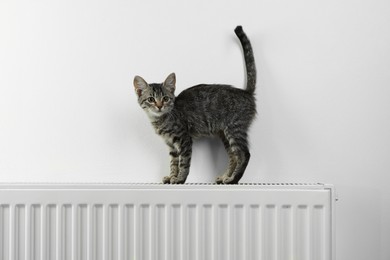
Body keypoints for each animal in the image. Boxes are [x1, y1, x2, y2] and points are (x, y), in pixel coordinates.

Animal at [133, 25, 256, 185]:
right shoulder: (171, 145)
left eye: (165, 98)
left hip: (235, 129)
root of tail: (245, 92)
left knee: (244, 154)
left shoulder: (184, 139)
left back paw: (233, 179)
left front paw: (180, 178)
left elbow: (184, 162)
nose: (159, 106)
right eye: (151, 99)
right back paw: (226, 176)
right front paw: (171, 176)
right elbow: (173, 162)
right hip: (225, 134)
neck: (160, 120)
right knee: (234, 156)